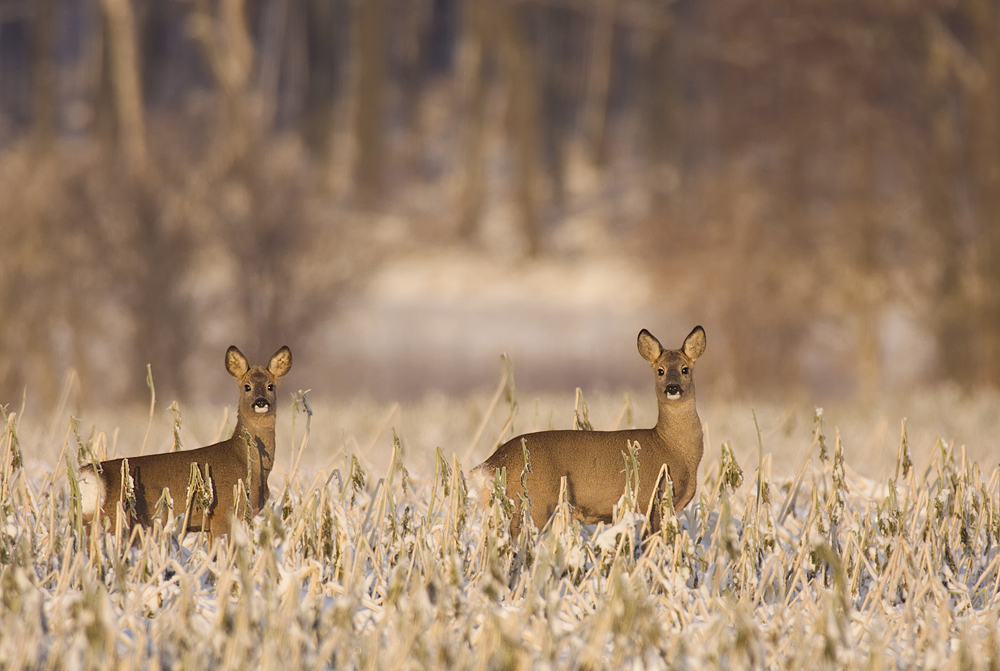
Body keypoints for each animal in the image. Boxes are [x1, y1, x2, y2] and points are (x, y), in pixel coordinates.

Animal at [78, 346, 292, 540]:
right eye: (247, 386)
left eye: (271, 386)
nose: (261, 402)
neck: (246, 463)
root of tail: (89, 475)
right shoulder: (224, 514)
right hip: (118, 520)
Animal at [466, 322, 704, 540]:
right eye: (660, 371)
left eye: (685, 369)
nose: (672, 388)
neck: (672, 447)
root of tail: (489, 465)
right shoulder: (649, 499)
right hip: (531, 503)